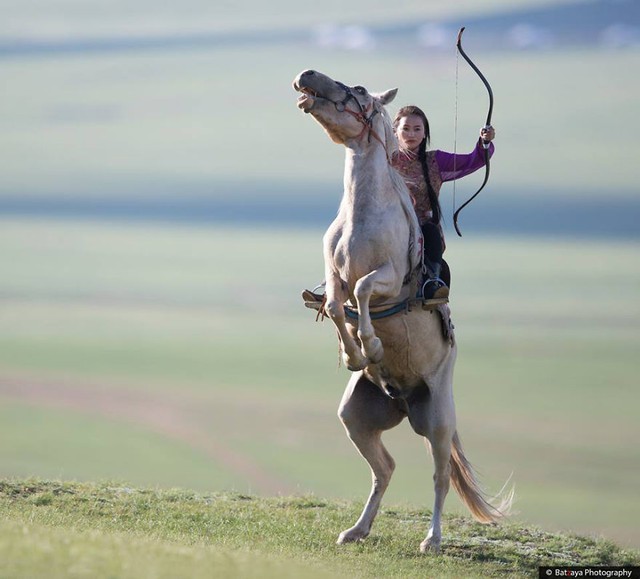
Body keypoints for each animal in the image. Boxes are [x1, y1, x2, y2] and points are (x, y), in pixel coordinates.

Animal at [294, 70, 510, 556]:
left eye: (357, 92)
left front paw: (370, 345)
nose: (306, 76)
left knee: (440, 475)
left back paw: (432, 539)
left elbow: (363, 289)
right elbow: (335, 302)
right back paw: (356, 530)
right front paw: (354, 354)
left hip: (438, 420)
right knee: (385, 468)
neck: (362, 217)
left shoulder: (389, 278)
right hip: (356, 418)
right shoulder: (333, 274)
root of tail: (405, 399)